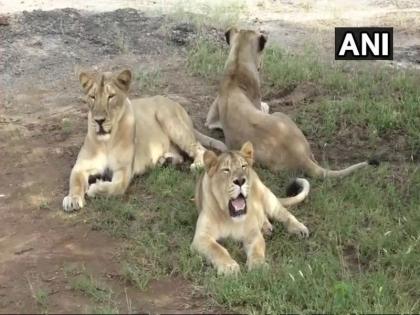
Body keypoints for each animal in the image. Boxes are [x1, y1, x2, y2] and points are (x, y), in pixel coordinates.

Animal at [62, 69, 226, 212]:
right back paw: (165, 161)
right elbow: (75, 183)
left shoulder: (124, 171)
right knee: (179, 154)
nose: (99, 120)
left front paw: (95, 188)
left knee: (199, 148)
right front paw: (72, 199)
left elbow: (115, 188)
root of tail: (177, 104)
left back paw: (196, 164)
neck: (106, 141)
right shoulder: (81, 167)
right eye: (92, 97)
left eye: (111, 97)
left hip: (168, 119)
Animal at [192, 142, 310, 276]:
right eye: (226, 170)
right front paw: (229, 267)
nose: (240, 180)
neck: (230, 217)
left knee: (285, 214)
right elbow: (217, 249)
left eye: (243, 166)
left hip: (268, 198)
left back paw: (299, 229)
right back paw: (266, 228)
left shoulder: (253, 233)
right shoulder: (202, 237)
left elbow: (257, 249)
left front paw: (258, 266)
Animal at [204, 27, 378, 178]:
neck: (237, 63)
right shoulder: (257, 101)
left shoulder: (211, 119)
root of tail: (300, 157)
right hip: (282, 116)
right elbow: (265, 106)